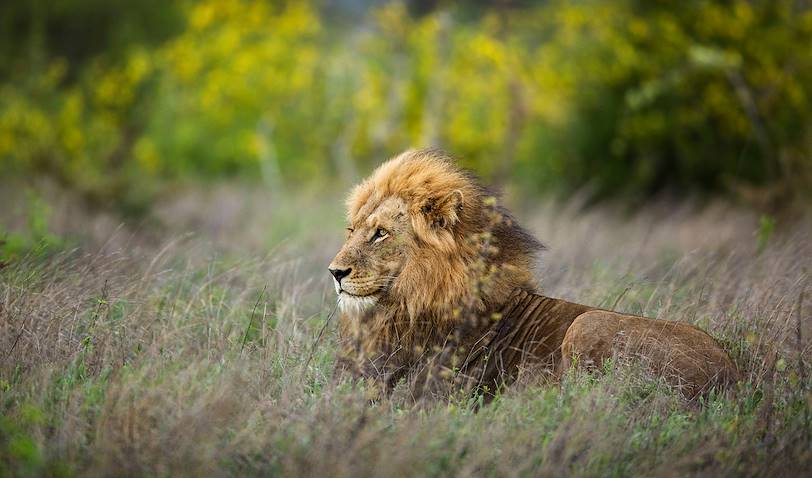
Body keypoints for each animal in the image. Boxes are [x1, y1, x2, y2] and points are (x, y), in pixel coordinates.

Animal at [328, 149, 738, 400]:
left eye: (380, 233)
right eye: (351, 230)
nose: (335, 272)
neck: (406, 305)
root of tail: (732, 377)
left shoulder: (431, 394)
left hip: (587, 324)